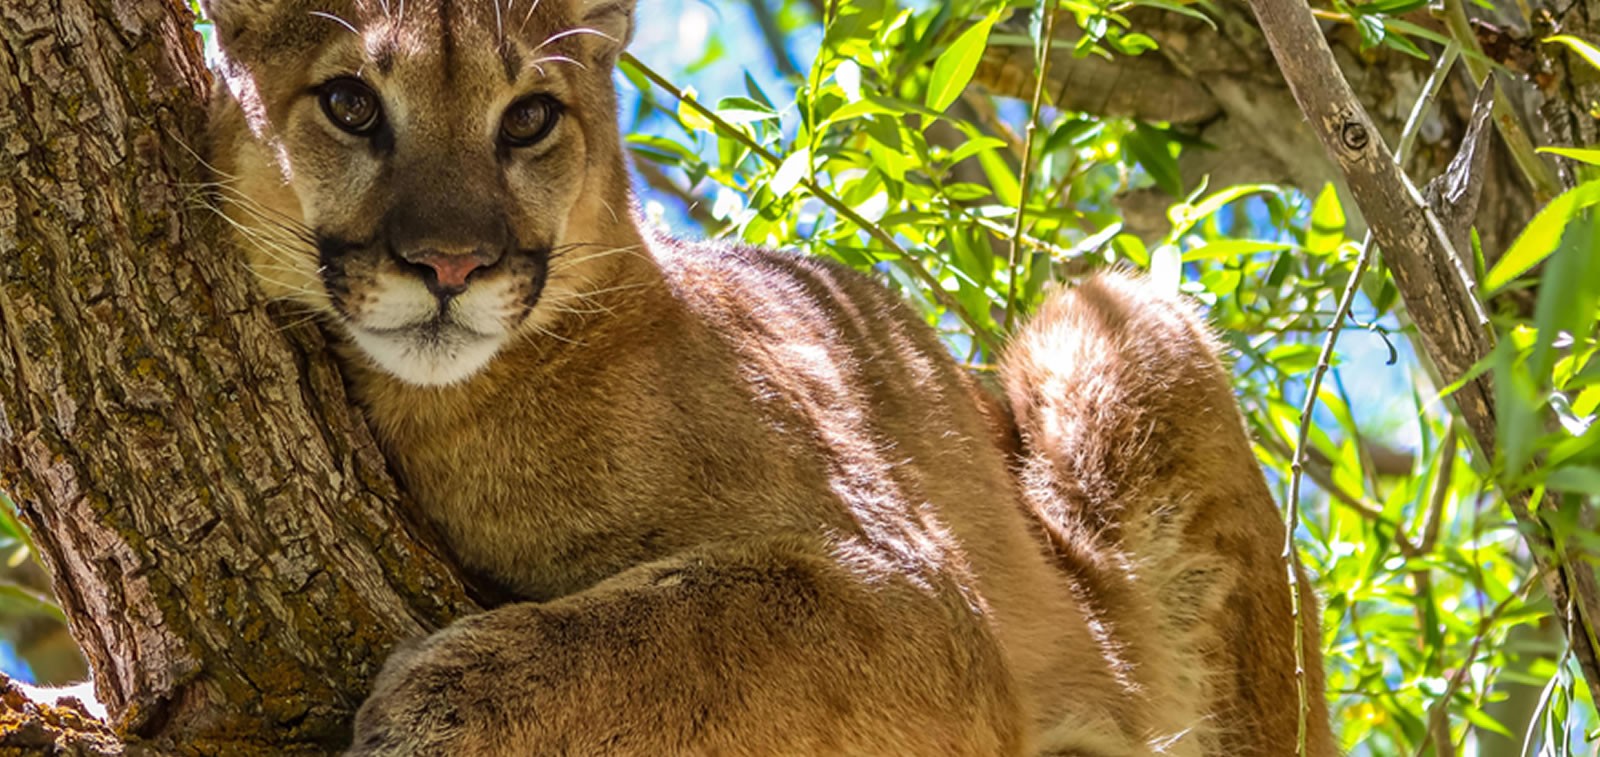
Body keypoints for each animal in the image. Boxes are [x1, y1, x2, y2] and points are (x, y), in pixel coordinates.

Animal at [203, 1, 1337, 748]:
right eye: (350, 104)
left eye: (527, 118)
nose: (449, 265)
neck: (460, 410)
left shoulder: (915, 597)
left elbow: (691, 622)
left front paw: (442, 708)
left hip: (1110, 326)